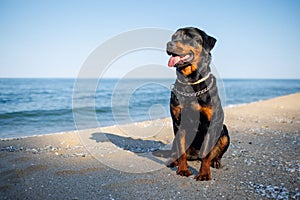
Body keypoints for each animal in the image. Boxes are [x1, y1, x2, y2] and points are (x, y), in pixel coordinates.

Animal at [166, 27, 230, 181]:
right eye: (173, 37)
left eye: (188, 37)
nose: (168, 44)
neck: (191, 81)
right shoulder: (178, 122)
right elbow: (181, 149)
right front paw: (183, 169)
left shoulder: (210, 123)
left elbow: (207, 152)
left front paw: (204, 174)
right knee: (176, 149)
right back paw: (173, 161)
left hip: (224, 131)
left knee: (215, 153)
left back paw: (215, 161)